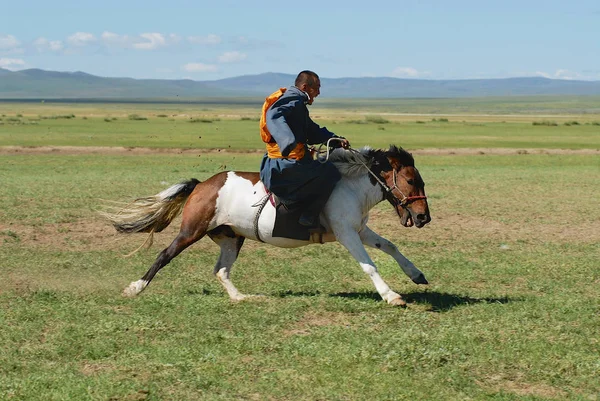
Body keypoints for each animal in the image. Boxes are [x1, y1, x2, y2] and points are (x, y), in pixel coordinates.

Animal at [103, 145, 432, 304]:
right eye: (410, 180)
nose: (423, 217)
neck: (351, 185)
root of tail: (202, 185)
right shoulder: (346, 233)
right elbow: (370, 266)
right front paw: (392, 296)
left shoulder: (360, 230)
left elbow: (390, 245)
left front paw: (416, 275)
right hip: (191, 231)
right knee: (164, 255)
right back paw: (135, 288)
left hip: (231, 238)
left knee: (221, 270)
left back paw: (241, 298)